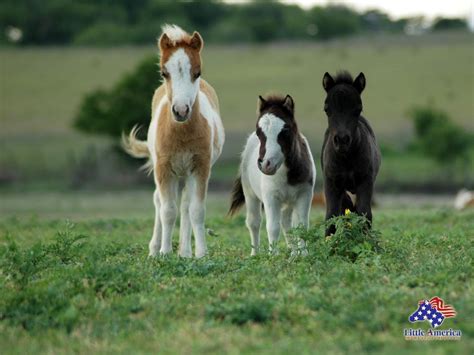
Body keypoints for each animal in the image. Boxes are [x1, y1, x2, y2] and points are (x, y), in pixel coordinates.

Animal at [123, 25, 225, 258]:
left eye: (197, 73)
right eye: (164, 73)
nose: (180, 111)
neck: (181, 134)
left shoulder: (201, 167)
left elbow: (196, 210)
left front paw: (200, 254)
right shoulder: (163, 167)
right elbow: (168, 210)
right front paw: (163, 253)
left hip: (185, 173)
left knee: (186, 205)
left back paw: (185, 252)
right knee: (159, 201)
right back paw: (154, 249)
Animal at [229, 94, 314, 256]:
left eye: (285, 130)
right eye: (259, 131)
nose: (266, 164)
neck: (288, 174)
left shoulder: (304, 195)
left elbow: (301, 226)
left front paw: (304, 256)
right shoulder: (271, 197)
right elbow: (272, 227)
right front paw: (273, 256)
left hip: (288, 202)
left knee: (287, 223)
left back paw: (293, 253)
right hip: (250, 194)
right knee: (254, 222)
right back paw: (255, 254)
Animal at [318, 70, 382, 235]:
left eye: (358, 109)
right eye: (326, 109)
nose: (342, 140)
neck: (346, 159)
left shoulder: (365, 181)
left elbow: (364, 213)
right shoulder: (331, 182)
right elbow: (331, 215)